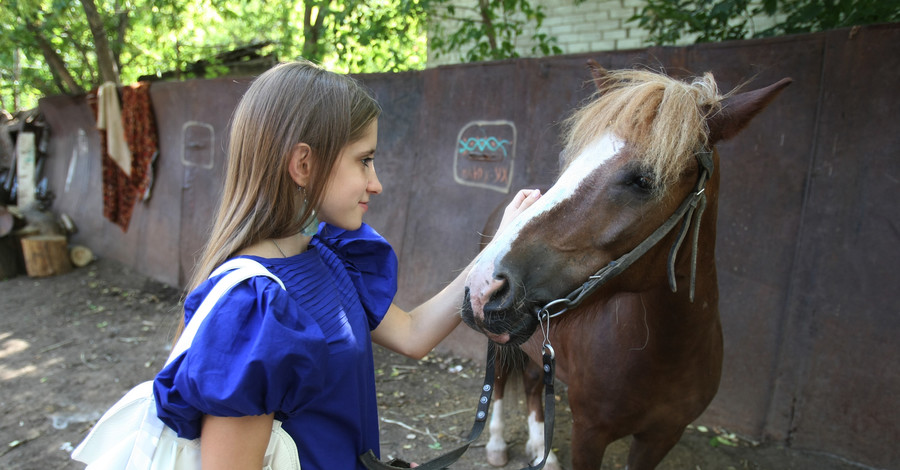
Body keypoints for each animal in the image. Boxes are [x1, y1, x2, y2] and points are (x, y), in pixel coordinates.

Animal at [460, 63, 792, 470]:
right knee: (502, 382)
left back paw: (542, 450)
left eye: (644, 180)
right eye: (568, 161)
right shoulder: (589, 433)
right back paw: (495, 444)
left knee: (534, 382)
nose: (484, 287)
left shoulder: (662, 437)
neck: (665, 353)